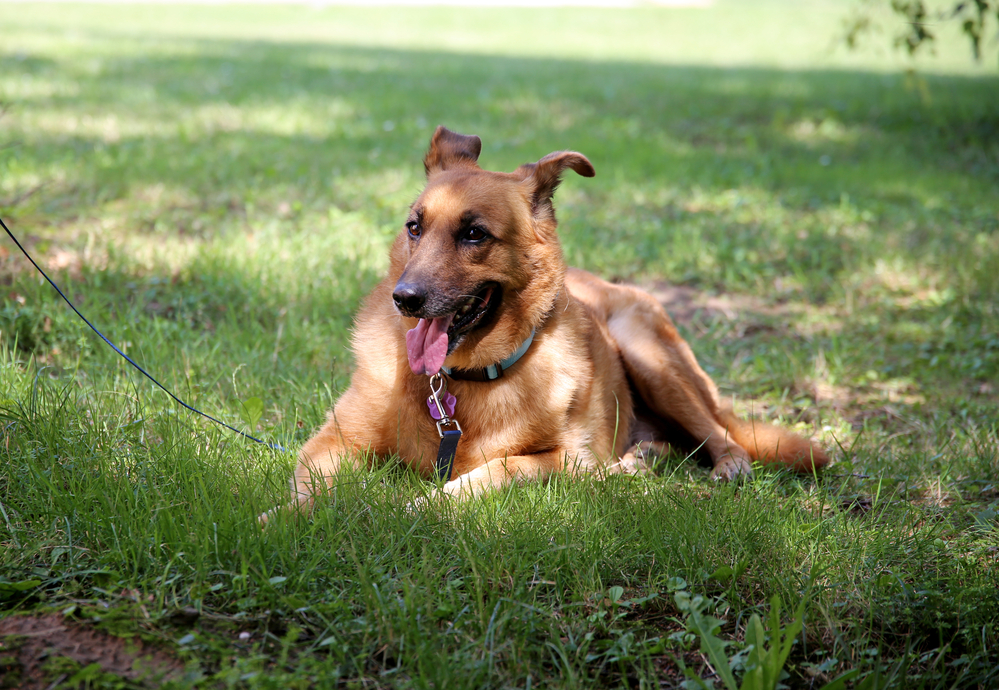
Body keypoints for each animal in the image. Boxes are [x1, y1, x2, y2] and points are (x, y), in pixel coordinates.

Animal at [258, 125, 828, 520]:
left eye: (474, 234)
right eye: (414, 228)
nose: (406, 299)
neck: (458, 382)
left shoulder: (566, 459)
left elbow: (497, 468)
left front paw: (417, 508)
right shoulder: (333, 443)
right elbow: (308, 488)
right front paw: (284, 519)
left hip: (647, 354)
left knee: (719, 437)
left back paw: (721, 465)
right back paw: (639, 460)